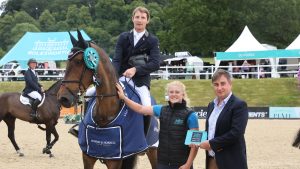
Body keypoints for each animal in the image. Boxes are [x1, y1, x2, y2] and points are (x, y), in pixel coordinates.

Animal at [57, 30, 158, 169]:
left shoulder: (115, 161)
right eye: (67, 62)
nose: (63, 98)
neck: (105, 114)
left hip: (153, 149)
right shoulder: (87, 157)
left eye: (78, 62)